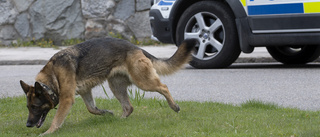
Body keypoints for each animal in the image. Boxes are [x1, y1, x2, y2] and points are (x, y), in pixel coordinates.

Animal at [20, 37, 196, 135]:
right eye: (28, 107)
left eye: (35, 107)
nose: (27, 125)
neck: (52, 76)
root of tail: (136, 47)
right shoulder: (85, 91)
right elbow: (91, 108)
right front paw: (106, 113)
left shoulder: (67, 99)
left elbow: (57, 119)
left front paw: (48, 132)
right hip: (115, 86)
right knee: (129, 107)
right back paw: (119, 120)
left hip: (143, 81)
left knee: (163, 87)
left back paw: (174, 106)